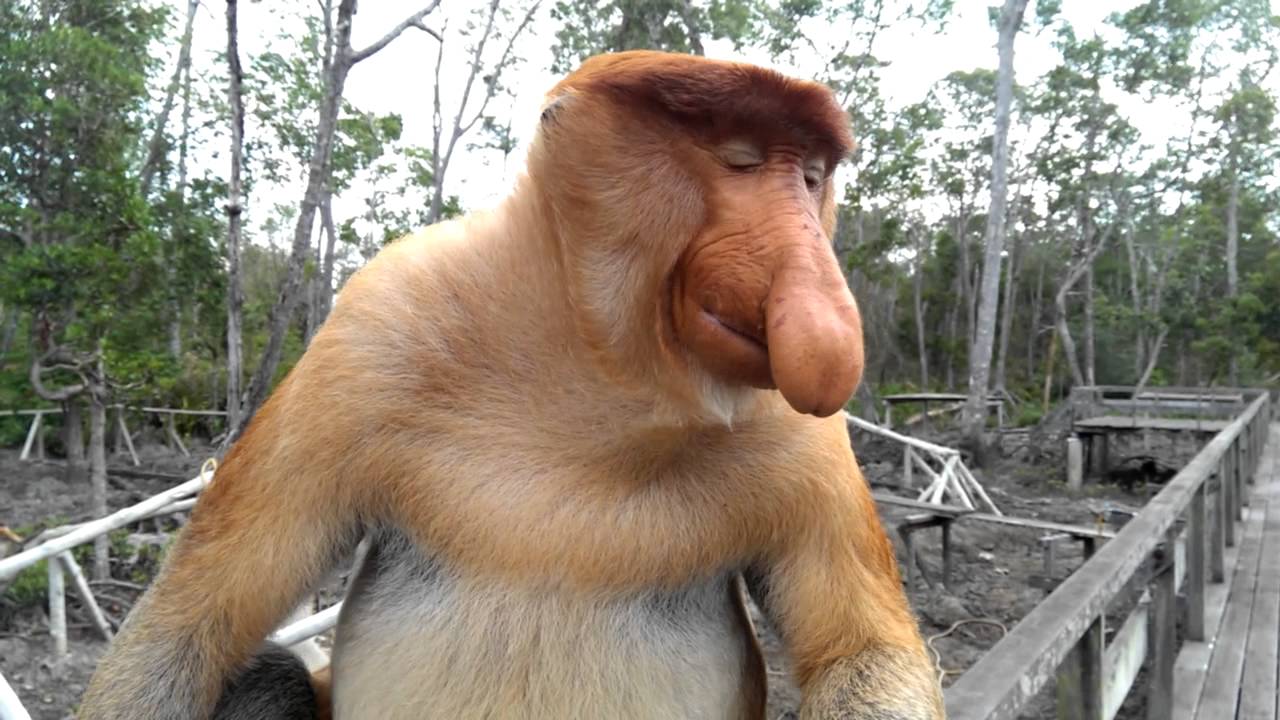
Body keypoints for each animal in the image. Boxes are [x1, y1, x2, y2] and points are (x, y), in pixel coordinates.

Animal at [78, 51, 944, 720]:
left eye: (810, 177)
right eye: (741, 159)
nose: (820, 302)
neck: (599, 375)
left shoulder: (798, 433)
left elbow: (860, 651)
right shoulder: (372, 332)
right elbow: (186, 631)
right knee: (263, 672)